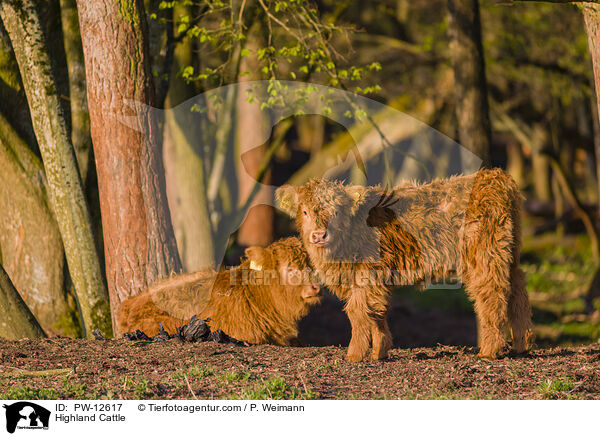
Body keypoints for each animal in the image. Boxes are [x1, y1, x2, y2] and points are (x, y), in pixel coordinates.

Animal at [276, 167, 536, 362]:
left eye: (337, 212)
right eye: (305, 211)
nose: (319, 235)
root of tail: (493, 176)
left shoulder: (366, 275)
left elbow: (358, 312)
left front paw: (354, 355)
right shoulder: (376, 279)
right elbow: (377, 312)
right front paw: (379, 352)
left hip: (484, 254)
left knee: (492, 293)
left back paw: (489, 352)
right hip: (508, 251)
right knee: (518, 289)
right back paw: (522, 344)